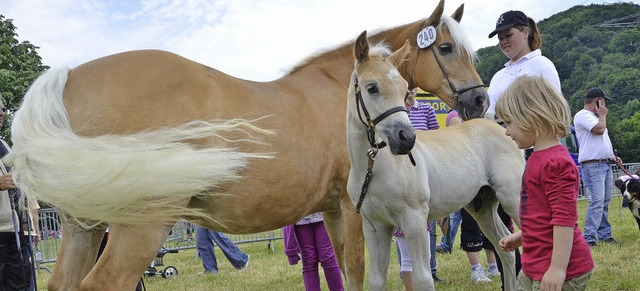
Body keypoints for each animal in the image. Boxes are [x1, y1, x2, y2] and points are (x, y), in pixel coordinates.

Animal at [5, 1, 488, 290]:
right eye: (447, 47)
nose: (480, 100)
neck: (345, 91)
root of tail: (69, 76)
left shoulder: (332, 210)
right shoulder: (353, 209)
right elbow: (355, 270)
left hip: (84, 227)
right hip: (139, 227)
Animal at [348, 32, 524, 291]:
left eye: (404, 89)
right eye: (372, 87)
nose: (406, 138)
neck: (374, 168)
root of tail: (503, 129)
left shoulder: (414, 221)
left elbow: (422, 279)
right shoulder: (375, 227)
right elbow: (377, 281)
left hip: (514, 197)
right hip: (482, 207)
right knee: (506, 248)